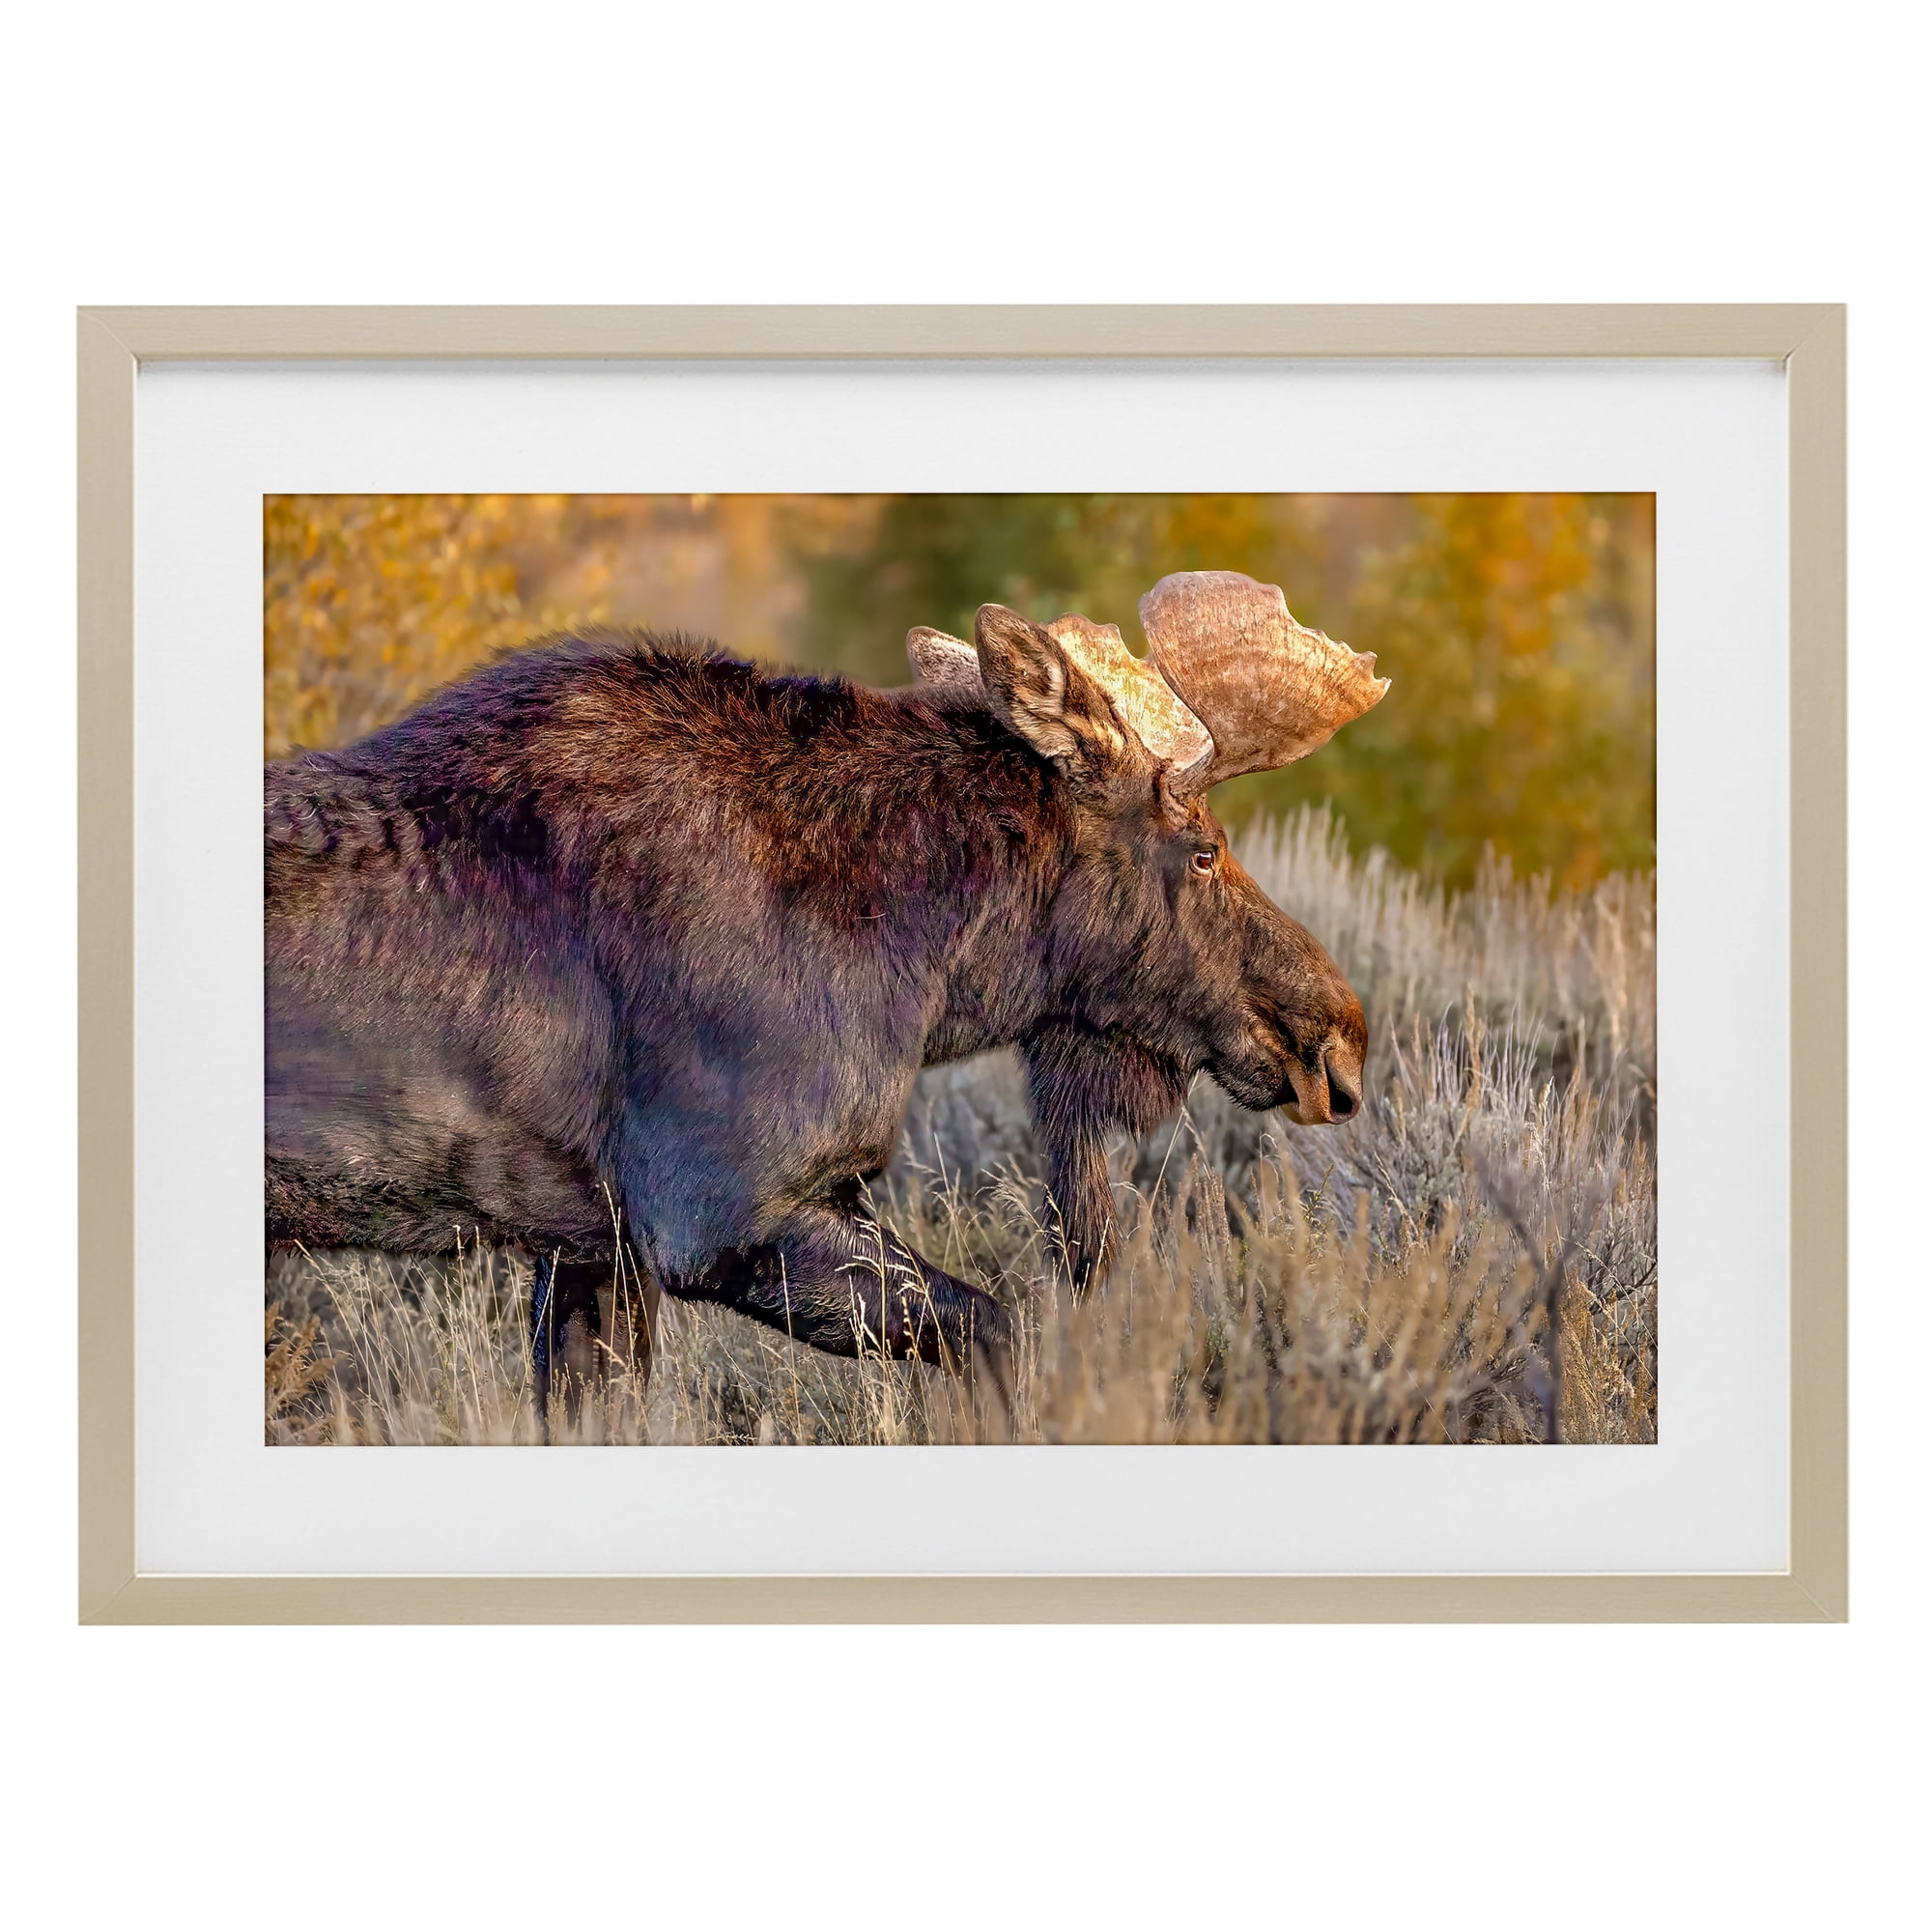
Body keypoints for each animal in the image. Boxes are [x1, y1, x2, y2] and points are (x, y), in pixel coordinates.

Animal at [264, 569, 1388, 1417]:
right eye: (1201, 848)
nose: (1336, 1036)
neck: (931, 966)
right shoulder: (721, 1213)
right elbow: (1003, 1334)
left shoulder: (590, 1246)